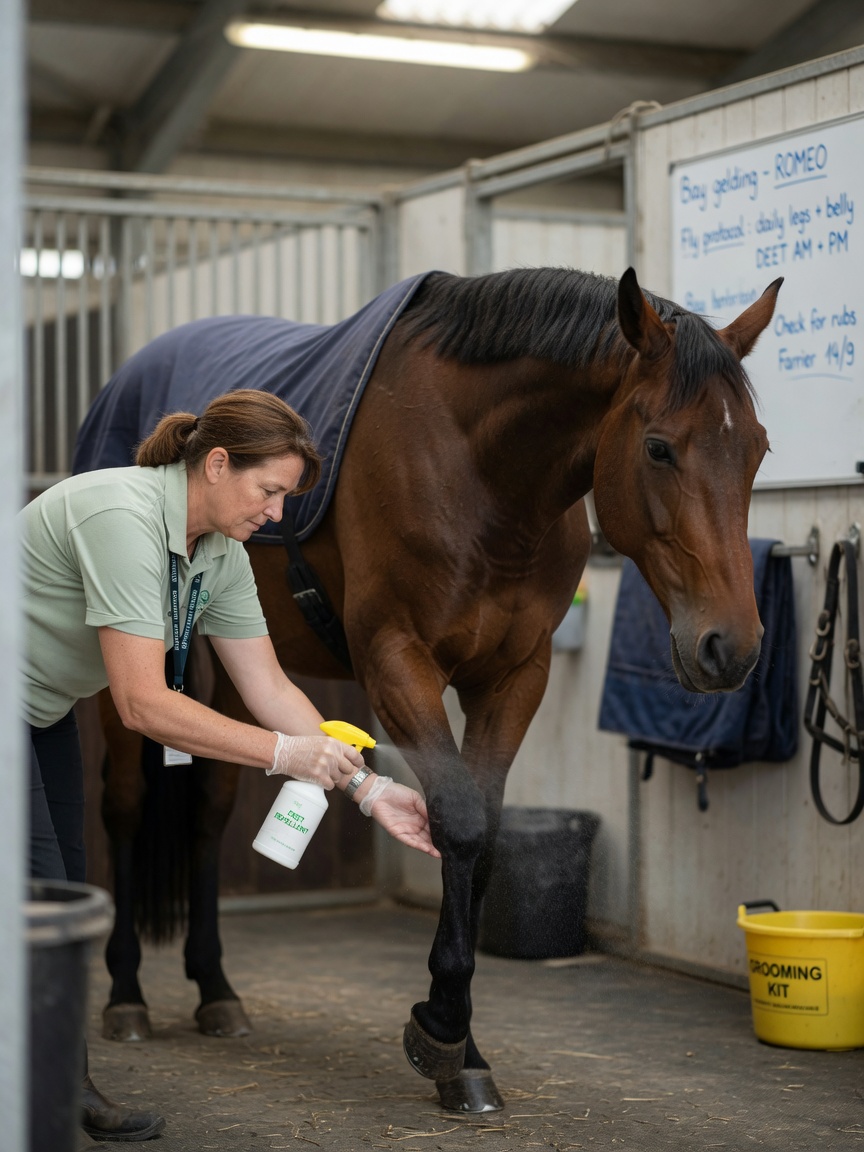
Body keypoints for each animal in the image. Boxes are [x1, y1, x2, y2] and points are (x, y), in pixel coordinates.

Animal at [77, 265, 779, 1113]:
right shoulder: (396, 663)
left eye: (758, 449)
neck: (480, 469)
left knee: (211, 810)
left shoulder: (514, 677)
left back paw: (215, 989)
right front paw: (441, 1029)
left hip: (241, 654)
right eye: (658, 447)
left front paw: (466, 1053)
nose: (731, 647)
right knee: (123, 808)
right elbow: (460, 824)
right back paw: (126, 996)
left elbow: (481, 841)